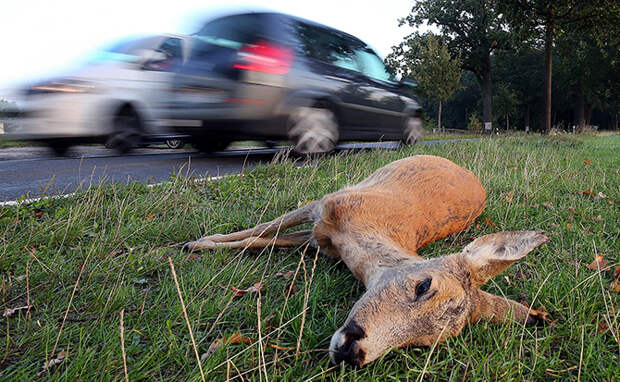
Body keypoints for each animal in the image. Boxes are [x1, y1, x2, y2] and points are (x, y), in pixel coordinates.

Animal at [184, 155, 548, 368]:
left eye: (425, 342)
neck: (356, 234)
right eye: (424, 285)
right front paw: (198, 242)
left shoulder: (320, 241)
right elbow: (262, 229)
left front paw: (203, 243)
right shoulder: (324, 204)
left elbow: (264, 239)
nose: (354, 353)